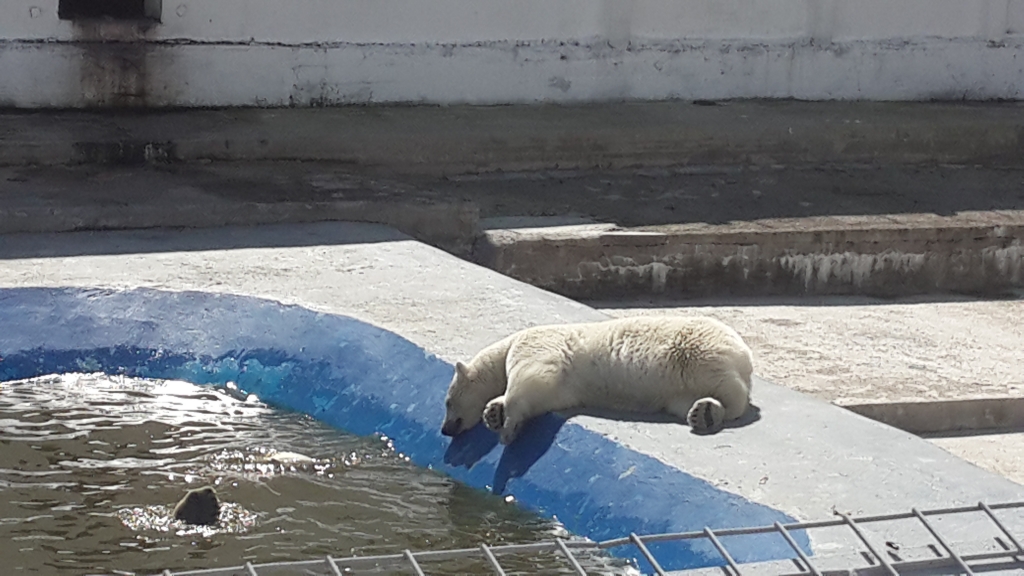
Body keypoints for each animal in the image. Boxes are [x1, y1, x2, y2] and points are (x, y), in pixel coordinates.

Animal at [438, 313, 753, 444]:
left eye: (448, 402)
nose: (445, 429)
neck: (505, 347)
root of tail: (745, 355)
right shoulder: (567, 388)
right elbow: (547, 395)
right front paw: (493, 412)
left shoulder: (534, 344)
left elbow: (533, 377)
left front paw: (507, 428)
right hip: (678, 389)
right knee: (685, 401)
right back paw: (703, 413)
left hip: (694, 352)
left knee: (727, 387)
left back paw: (713, 411)